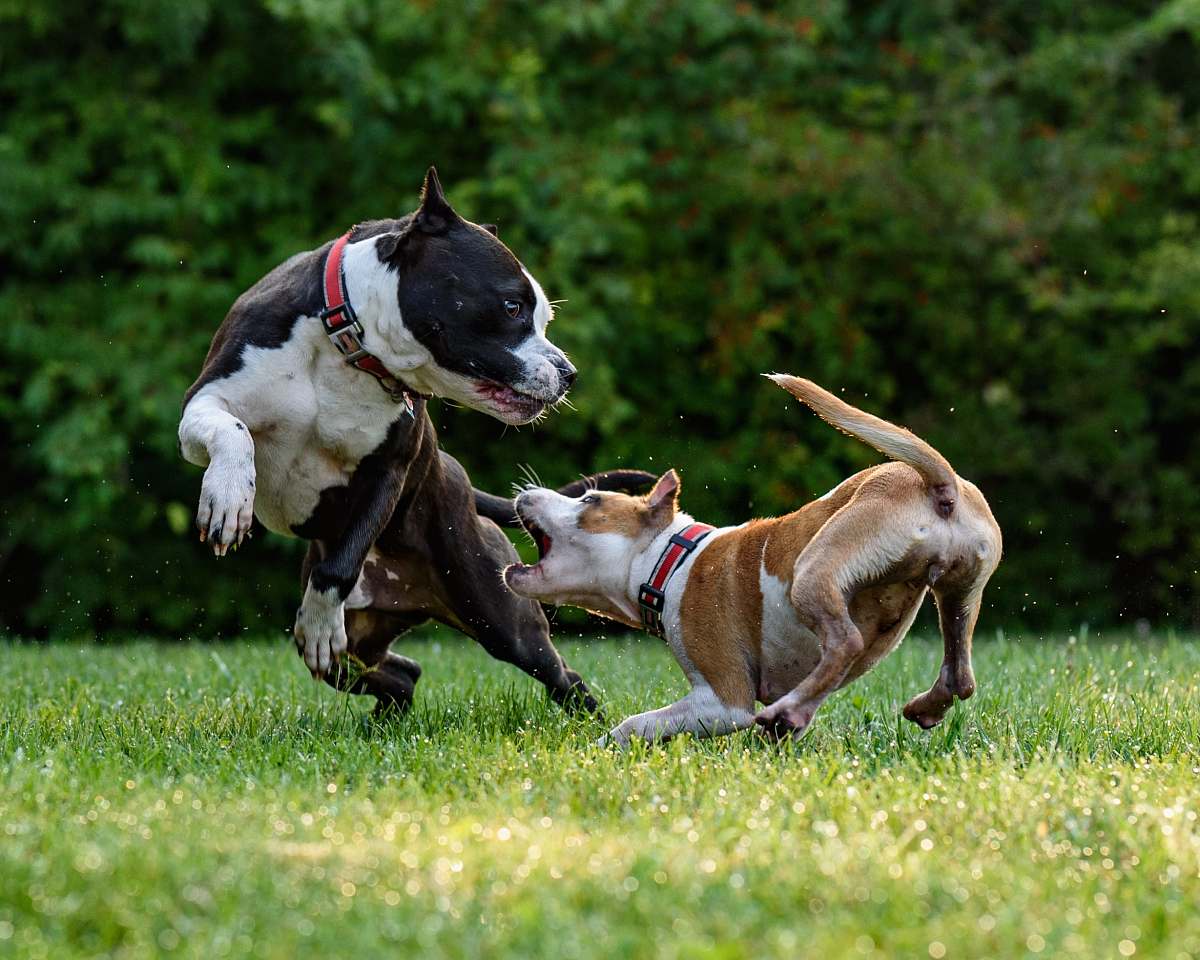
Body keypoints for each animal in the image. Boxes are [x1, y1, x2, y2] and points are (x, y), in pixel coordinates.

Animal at [177, 170, 648, 710]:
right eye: (512, 307)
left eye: (543, 318)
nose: (569, 373)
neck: (348, 345)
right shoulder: (204, 401)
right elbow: (233, 432)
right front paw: (228, 498)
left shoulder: (389, 471)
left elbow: (339, 567)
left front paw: (319, 621)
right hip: (361, 644)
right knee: (399, 671)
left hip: (500, 616)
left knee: (559, 675)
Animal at [501, 372, 998, 744]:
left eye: (590, 500)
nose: (524, 492)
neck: (671, 559)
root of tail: (940, 485)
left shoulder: (722, 700)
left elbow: (634, 725)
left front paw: (600, 749)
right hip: (960, 591)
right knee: (959, 675)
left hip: (815, 568)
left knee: (846, 641)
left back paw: (788, 710)